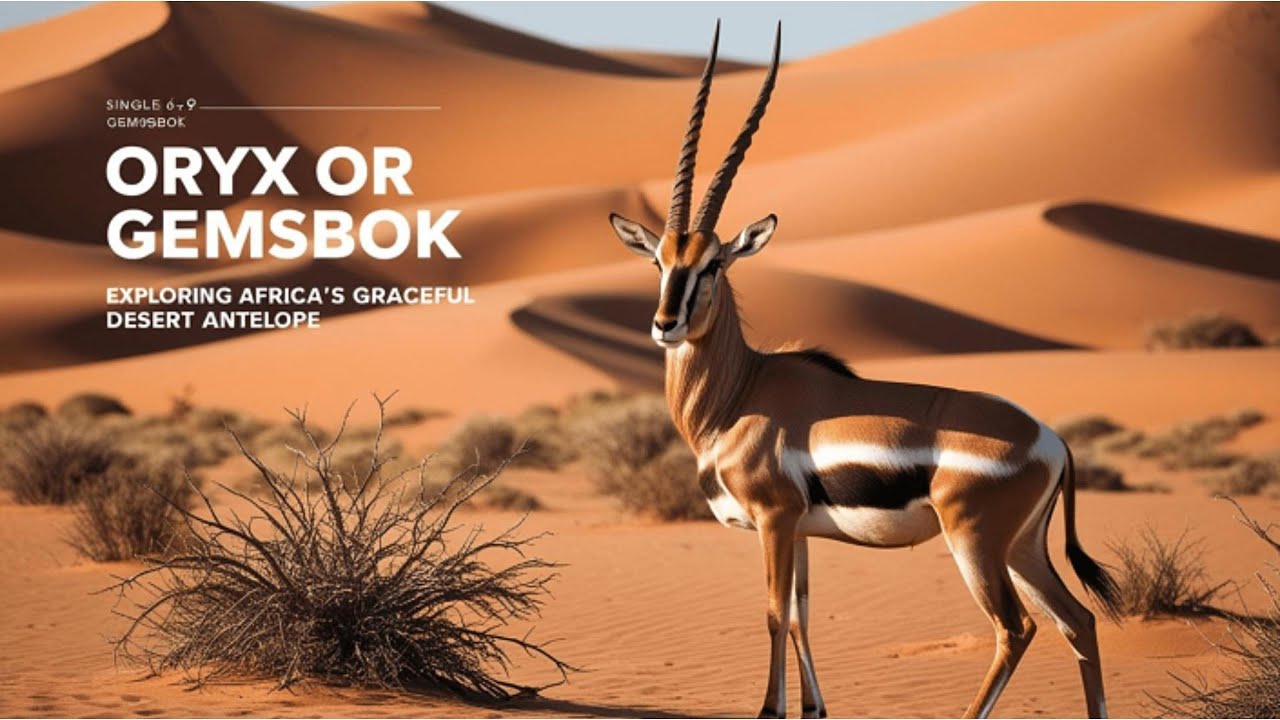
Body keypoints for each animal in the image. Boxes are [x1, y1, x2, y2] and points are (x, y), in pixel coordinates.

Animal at [607, 23, 1122, 719]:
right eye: (659, 260)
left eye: (713, 262)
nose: (666, 323)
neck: (740, 395)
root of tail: (1051, 440)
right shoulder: (799, 530)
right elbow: (801, 616)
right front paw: (813, 709)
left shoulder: (773, 521)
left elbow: (773, 614)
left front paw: (770, 709)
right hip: (1022, 548)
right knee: (1078, 621)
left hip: (976, 544)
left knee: (1017, 628)